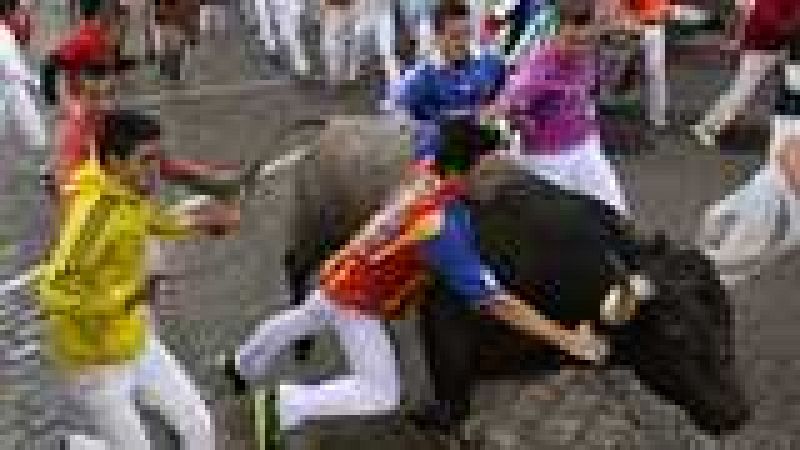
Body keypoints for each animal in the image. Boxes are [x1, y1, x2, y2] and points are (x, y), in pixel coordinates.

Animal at [284, 125, 752, 436]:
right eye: (676, 333)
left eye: (727, 321)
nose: (735, 413)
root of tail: (331, 130)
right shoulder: (445, 329)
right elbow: (453, 409)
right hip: (313, 235)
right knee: (296, 266)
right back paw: (301, 346)